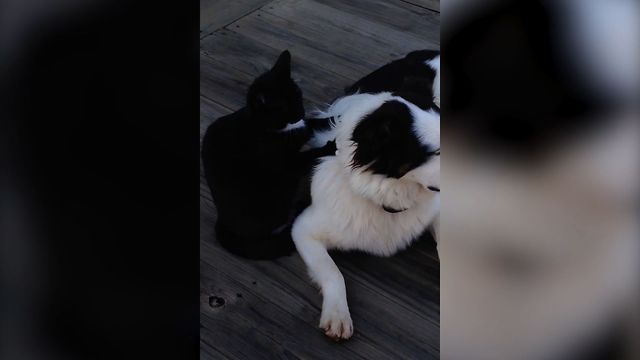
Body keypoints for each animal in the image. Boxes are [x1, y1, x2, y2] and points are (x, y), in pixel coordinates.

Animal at [202, 50, 336, 258]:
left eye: (299, 96)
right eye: (285, 106)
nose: (300, 112)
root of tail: (222, 222)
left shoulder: (300, 130)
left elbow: (311, 124)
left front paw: (335, 117)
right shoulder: (285, 163)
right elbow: (308, 153)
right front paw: (330, 147)